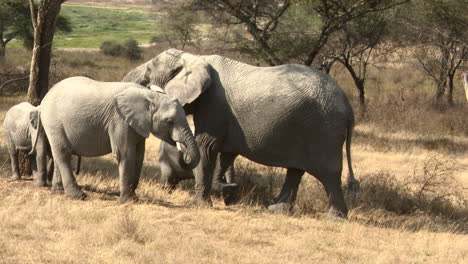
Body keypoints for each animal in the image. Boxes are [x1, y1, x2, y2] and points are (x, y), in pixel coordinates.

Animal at [38, 76, 199, 202]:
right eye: (170, 121)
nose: (181, 150)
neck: (150, 96)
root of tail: (45, 97)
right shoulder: (119, 120)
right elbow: (125, 154)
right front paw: (127, 201)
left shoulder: (138, 125)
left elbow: (139, 156)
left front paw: (133, 198)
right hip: (53, 121)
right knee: (63, 152)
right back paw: (78, 196)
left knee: (59, 153)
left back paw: (59, 191)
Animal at [123, 48, 358, 218]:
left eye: (149, 70)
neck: (196, 57)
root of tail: (348, 106)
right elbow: (224, 152)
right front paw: (223, 190)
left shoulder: (214, 104)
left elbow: (206, 146)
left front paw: (197, 204)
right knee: (296, 170)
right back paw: (276, 210)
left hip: (324, 130)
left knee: (328, 173)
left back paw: (335, 218)